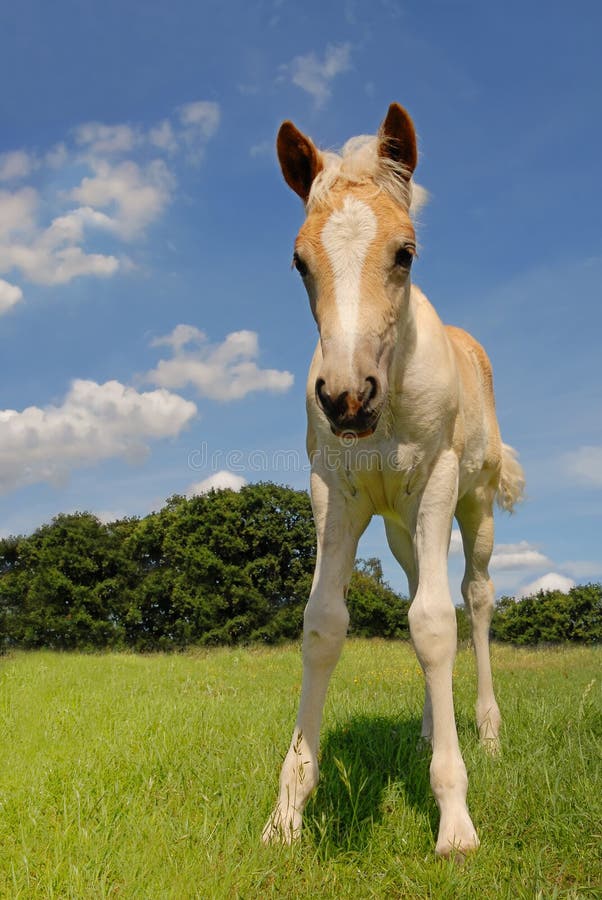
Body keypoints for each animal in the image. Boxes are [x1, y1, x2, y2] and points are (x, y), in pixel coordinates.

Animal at [262, 102, 520, 856]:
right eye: (299, 261)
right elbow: (325, 624)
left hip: (474, 505)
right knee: (418, 588)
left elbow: (435, 624)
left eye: (405, 253)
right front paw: (286, 812)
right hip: (404, 529)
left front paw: (455, 820)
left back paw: (486, 733)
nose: (347, 398)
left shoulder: (434, 483)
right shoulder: (333, 492)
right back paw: (434, 728)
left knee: (473, 599)